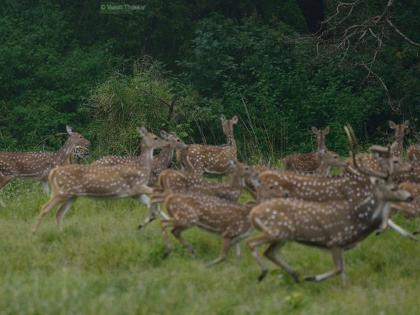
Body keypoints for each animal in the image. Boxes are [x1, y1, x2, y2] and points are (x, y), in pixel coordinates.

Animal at [31, 128, 169, 235]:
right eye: (156, 137)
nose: (166, 143)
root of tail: (52, 173)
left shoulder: (136, 192)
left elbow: (154, 203)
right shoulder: (136, 187)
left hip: (71, 195)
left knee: (58, 213)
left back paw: (61, 232)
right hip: (62, 192)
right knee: (45, 207)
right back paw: (34, 233)